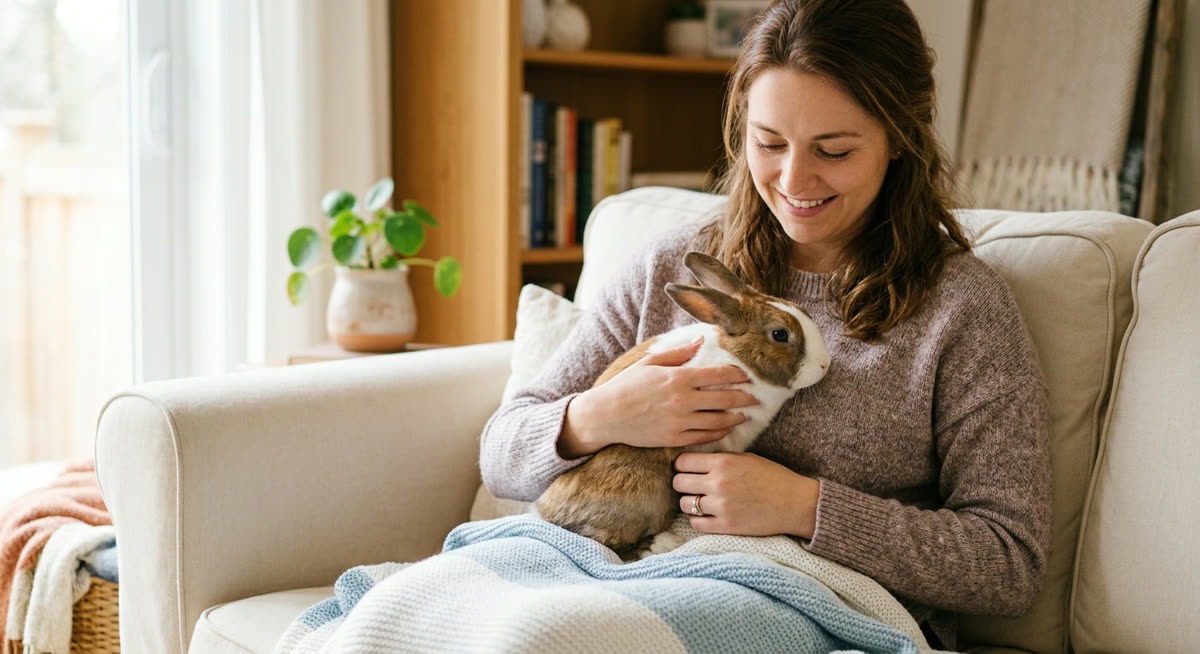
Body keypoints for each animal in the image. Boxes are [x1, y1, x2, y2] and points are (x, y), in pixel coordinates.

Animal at [535, 251, 831, 555]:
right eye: (780, 334)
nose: (825, 364)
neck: (738, 358)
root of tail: (546, 513)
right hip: (646, 492)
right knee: (609, 543)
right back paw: (663, 544)